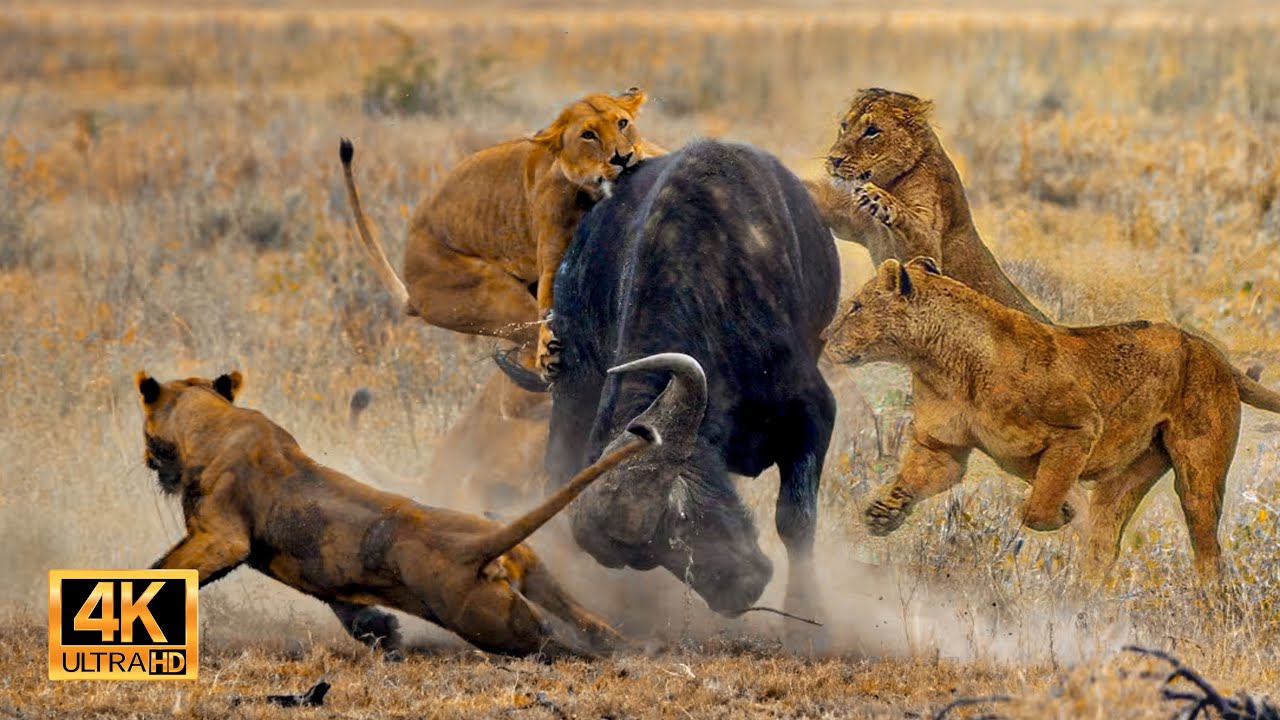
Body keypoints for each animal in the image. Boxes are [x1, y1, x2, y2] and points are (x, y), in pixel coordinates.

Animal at [137, 369, 660, 657]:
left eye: (147, 435)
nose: (147, 461)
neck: (214, 422)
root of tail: (479, 545)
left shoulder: (222, 538)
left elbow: (162, 570)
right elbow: (345, 602)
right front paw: (383, 634)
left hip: (497, 625)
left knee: (562, 648)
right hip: (536, 577)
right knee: (591, 623)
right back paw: (632, 646)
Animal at [340, 87, 664, 377]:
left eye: (622, 123)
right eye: (588, 135)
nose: (622, 158)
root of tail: (412, 292)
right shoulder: (552, 261)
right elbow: (549, 303)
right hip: (492, 295)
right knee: (528, 345)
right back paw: (544, 364)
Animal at [807, 88, 1050, 322]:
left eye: (872, 130)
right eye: (844, 126)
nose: (833, 159)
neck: (889, 182)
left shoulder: (929, 247)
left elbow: (912, 225)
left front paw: (878, 198)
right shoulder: (851, 219)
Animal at [822, 256, 1280, 580]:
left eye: (855, 307)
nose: (824, 338)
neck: (940, 362)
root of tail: (1209, 348)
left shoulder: (1078, 428)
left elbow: (1037, 506)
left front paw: (1062, 513)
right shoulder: (941, 447)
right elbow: (918, 477)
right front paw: (882, 514)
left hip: (1198, 470)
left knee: (1207, 545)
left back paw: (1208, 604)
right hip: (1127, 476)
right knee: (1104, 543)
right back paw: (1084, 606)